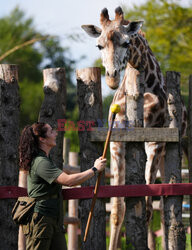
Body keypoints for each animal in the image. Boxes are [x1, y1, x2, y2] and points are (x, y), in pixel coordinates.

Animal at [82, 5, 187, 250]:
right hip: (165, 158)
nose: (111, 78)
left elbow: (146, 208)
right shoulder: (116, 144)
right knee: (166, 207)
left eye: (126, 43)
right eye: (99, 45)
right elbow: (117, 210)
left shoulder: (154, 142)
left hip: (183, 148)